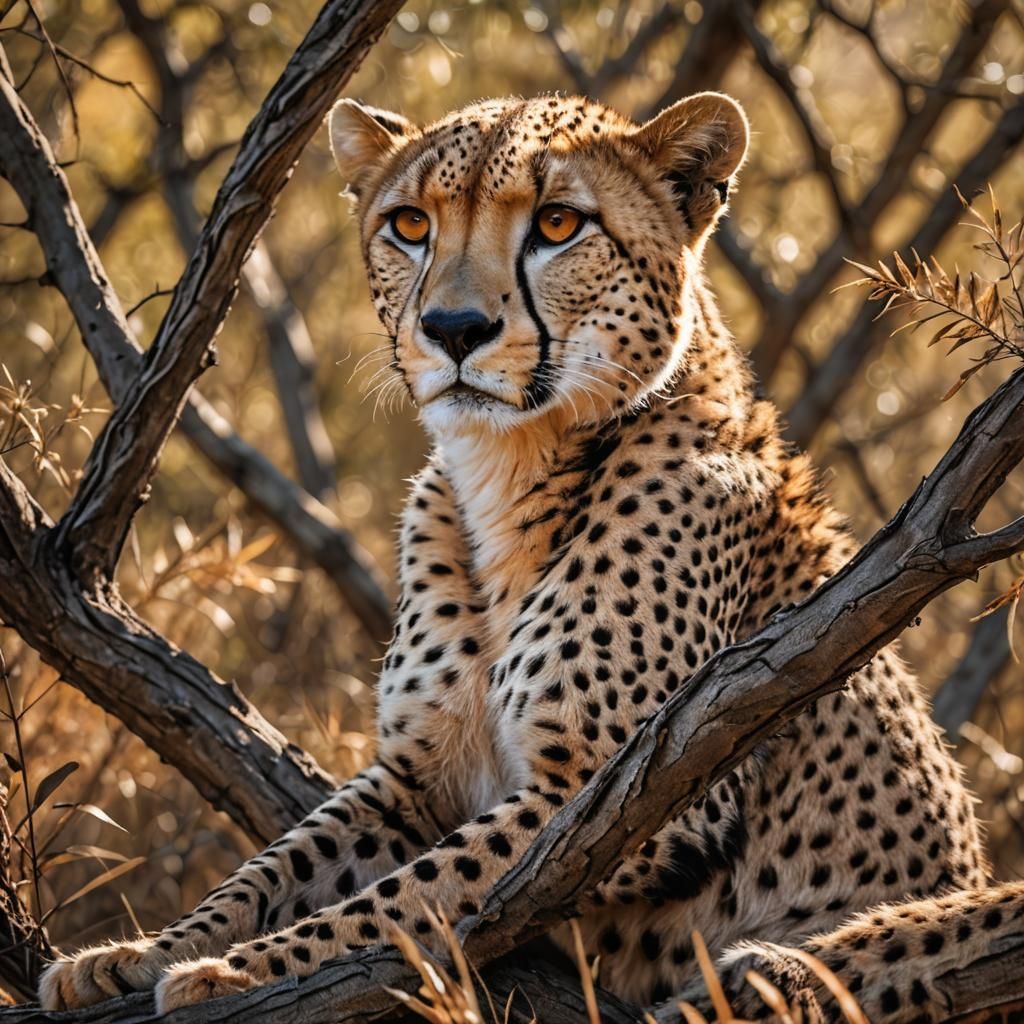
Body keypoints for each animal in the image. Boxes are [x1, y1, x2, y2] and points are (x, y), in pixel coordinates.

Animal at [40, 91, 1024, 1022]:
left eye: (557, 224)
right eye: (409, 224)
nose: (454, 328)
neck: (508, 471)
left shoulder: (628, 798)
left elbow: (409, 898)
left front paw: (235, 972)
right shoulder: (416, 780)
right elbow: (277, 868)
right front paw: (145, 951)